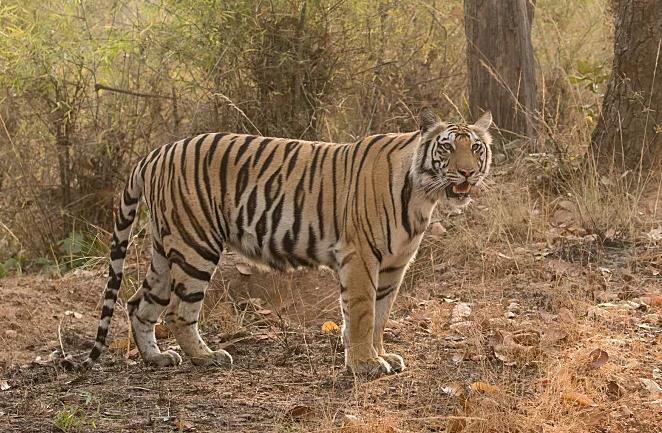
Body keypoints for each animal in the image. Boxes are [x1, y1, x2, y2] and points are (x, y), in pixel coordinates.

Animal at [83, 108, 492, 374]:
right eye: (446, 148)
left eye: (476, 148)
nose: (467, 173)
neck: (424, 195)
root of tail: (156, 152)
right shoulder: (361, 256)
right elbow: (362, 312)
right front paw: (365, 364)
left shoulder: (394, 264)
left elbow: (380, 314)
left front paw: (379, 356)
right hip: (195, 245)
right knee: (178, 311)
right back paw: (207, 357)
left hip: (166, 249)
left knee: (139, 303)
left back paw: (157, 358)